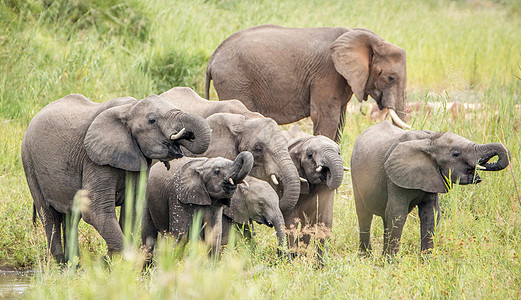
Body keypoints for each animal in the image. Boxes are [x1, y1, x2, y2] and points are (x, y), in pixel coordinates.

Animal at [20, 93, 211, 262]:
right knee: (49, 216)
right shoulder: (94, 158)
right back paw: (60, 263)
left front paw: (112, 261)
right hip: (29, 163)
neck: (129, 109)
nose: (188, 134)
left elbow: (131, 209)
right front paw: (122, 262)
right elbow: (96, 210)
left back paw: (73, 264)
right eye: (152, 120)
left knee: (71, 216)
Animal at [205, 24, 408, 141]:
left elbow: (340, 120)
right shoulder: (328, 73)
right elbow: (325, 116)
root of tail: (213, 58)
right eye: (390, 78)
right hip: (235, 81)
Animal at [350, 120, 508, 256]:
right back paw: (366, 256)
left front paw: (426, 261)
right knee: (364, 214)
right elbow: (397, 213)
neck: (429, 141)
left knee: (384, 216)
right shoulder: (394, 179)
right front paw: (390, 263)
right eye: (456, 154)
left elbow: (430, 214)